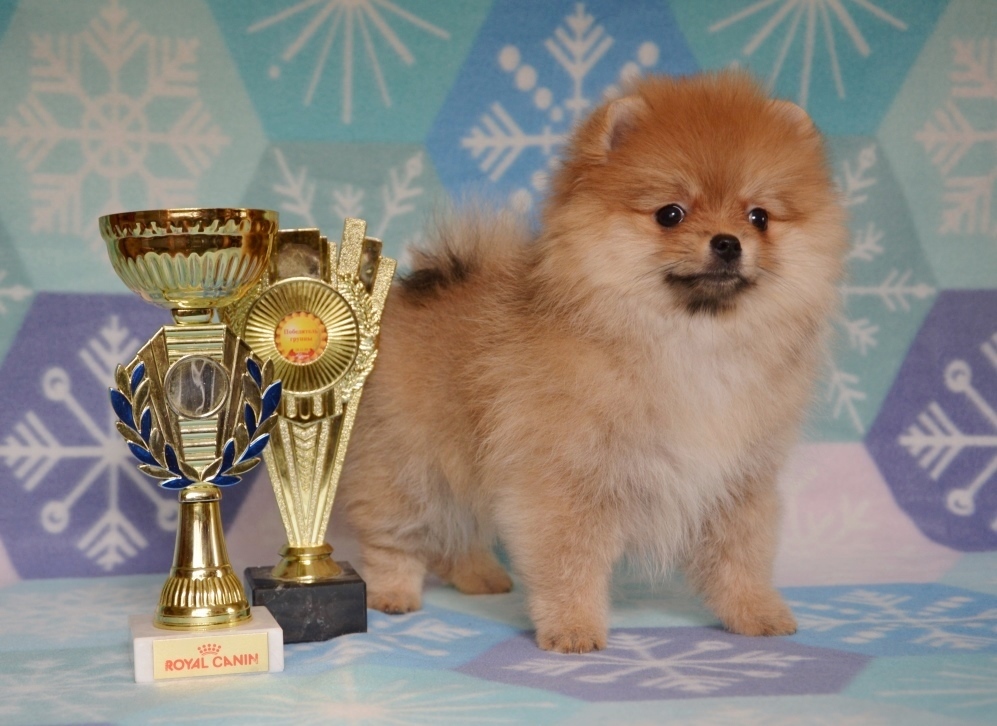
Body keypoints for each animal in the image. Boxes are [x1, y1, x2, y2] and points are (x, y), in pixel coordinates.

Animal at [338, 71, 844, 656]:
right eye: (671, 214)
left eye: (758, 217)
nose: (728, 242)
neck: (691, 342)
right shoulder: (568, 477)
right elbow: (569, 561)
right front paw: (573, 628)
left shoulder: (738, 481)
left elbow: (743, 556)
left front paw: (757, 613)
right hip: (408, 463)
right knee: (394, 531)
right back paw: (394, 592)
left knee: (459, 529)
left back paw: (479, 576)